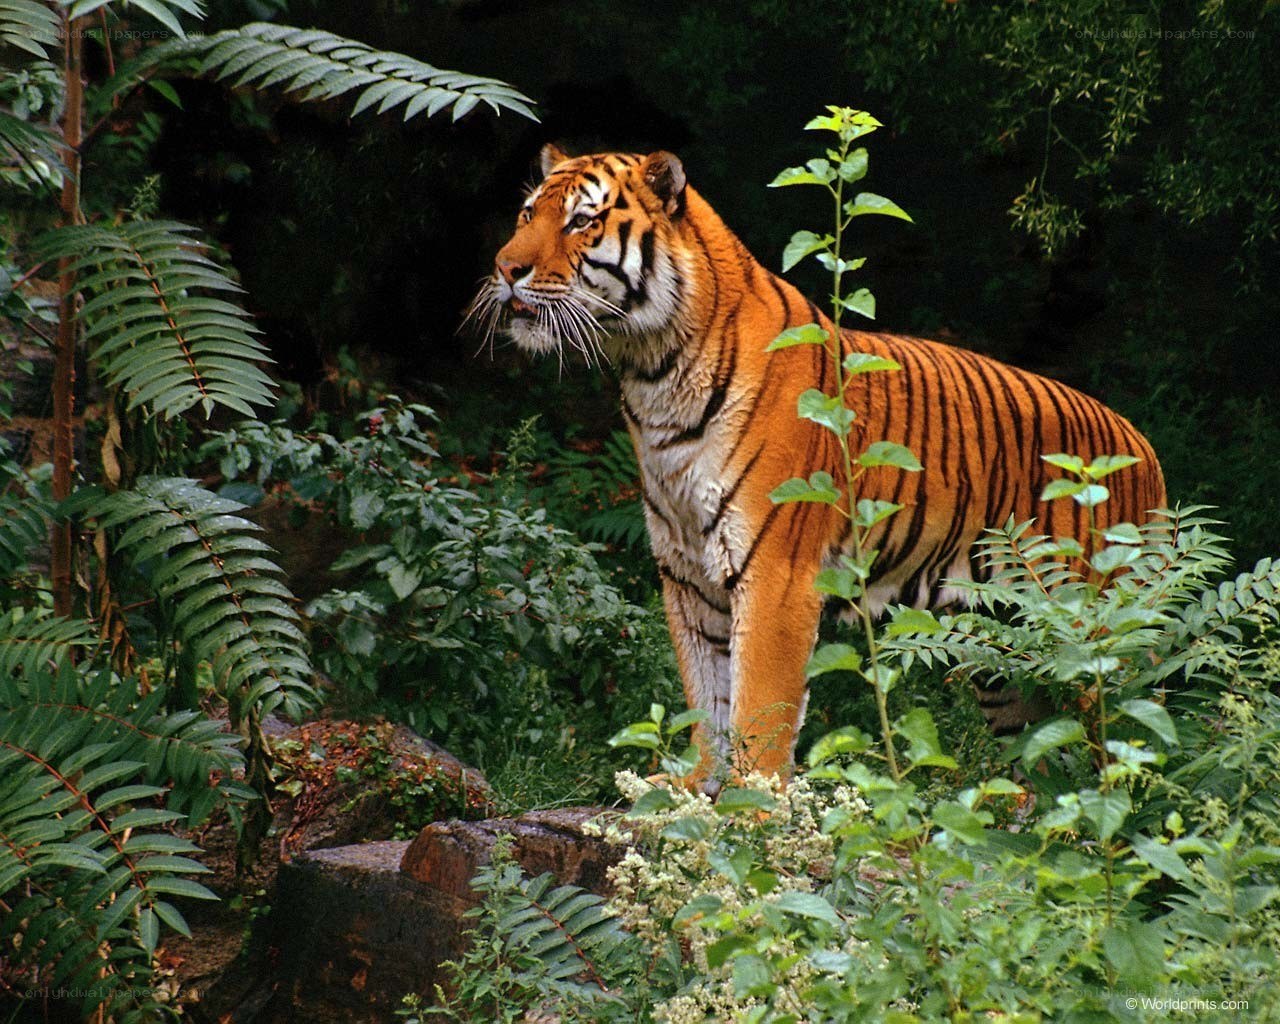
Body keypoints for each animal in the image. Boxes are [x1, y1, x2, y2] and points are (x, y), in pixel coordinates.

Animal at [470, 143, 1166, 794]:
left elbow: (758, 707)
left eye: (582, 221)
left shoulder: (776, 573)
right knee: (1041, 754)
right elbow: (706, 697)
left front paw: (753, 808)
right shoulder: (687, 576)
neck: (653, 374)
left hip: (1094, 636)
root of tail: (1144, 448)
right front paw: (696, 790)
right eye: (527, 214)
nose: (504, 268)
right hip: (1005, 651)